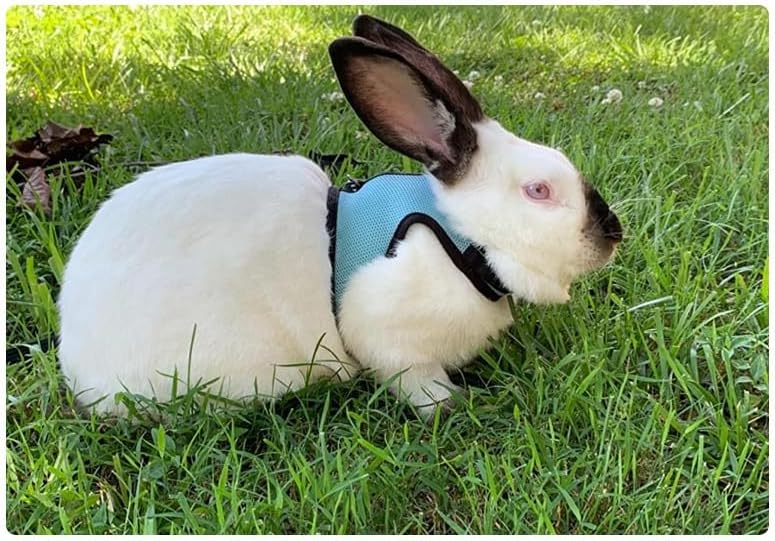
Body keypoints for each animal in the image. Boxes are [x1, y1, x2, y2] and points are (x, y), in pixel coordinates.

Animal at [57, 15, 622, 418]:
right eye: (538, 190)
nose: (612, 233)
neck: (461, 240)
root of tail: (77, 357)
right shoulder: (394, 341)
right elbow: (417, 383)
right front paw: (453, 405)